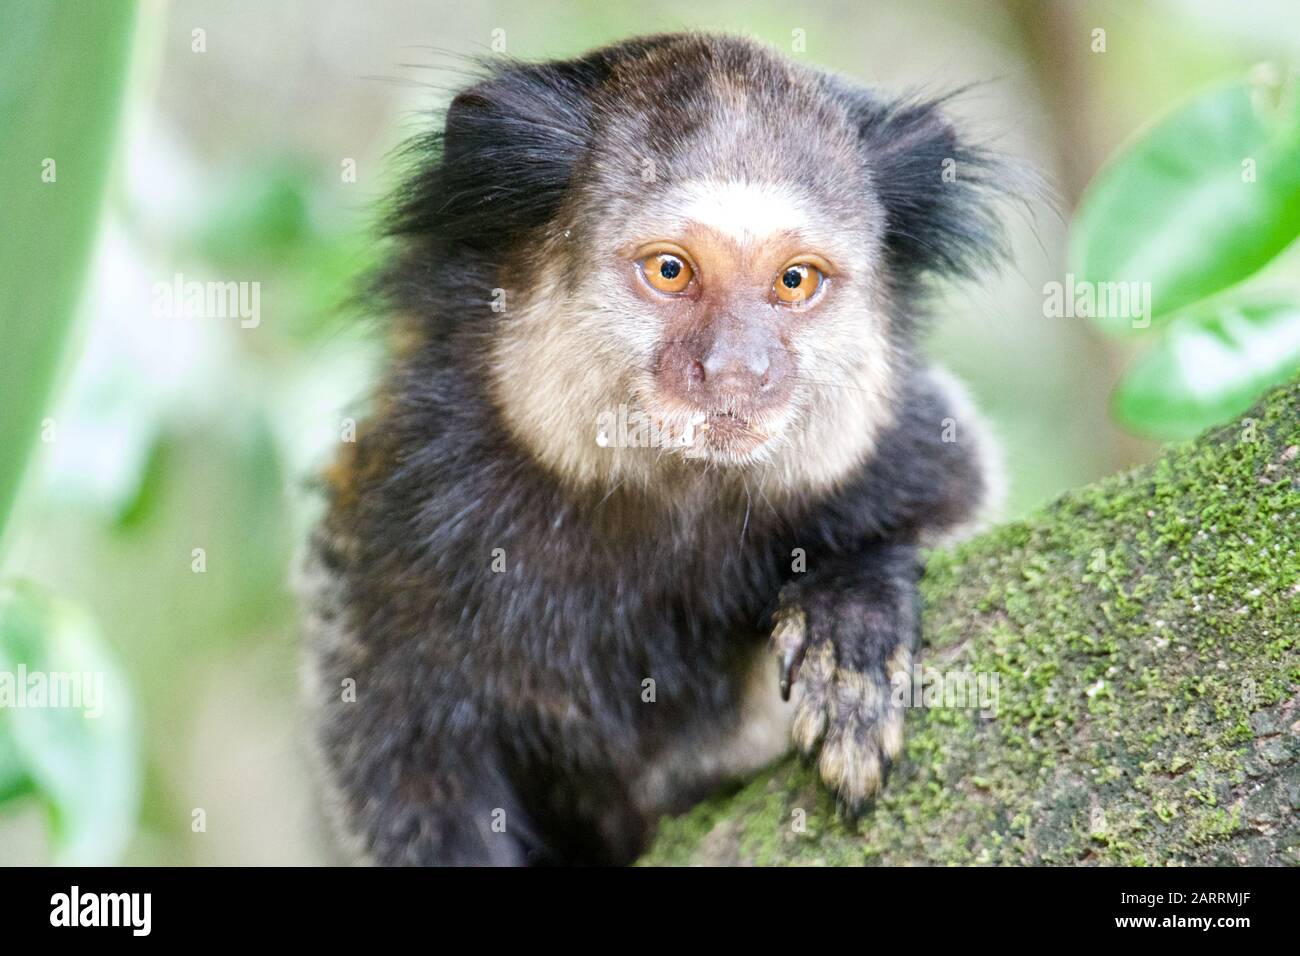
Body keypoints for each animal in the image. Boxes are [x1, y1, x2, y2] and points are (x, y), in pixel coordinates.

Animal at [304, 35, 1013, 868]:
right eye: (671, 270)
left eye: (794, 281)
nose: (738, 368)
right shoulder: (400, 507)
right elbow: (399, 760)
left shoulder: (910, 447)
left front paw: (855, 612)